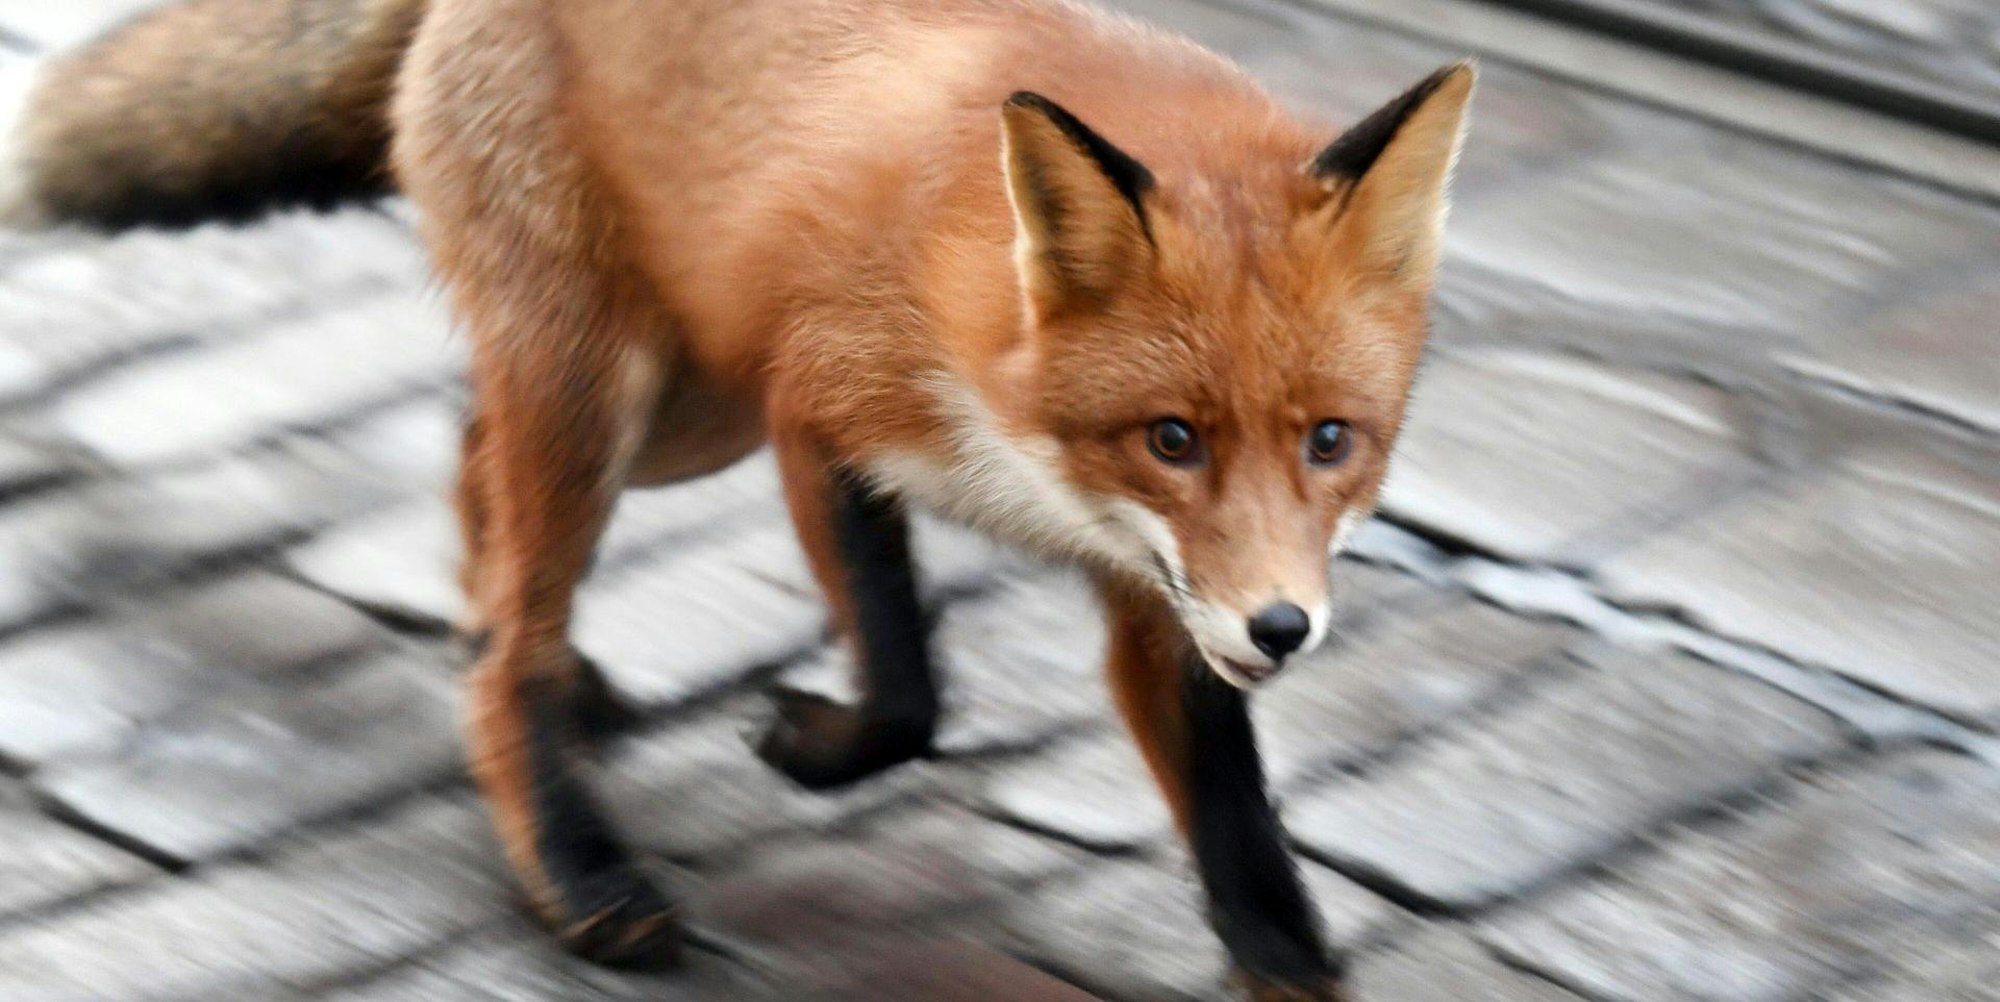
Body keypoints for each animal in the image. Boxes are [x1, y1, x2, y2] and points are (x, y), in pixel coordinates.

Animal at [4, 0, 1473, 996]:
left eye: (1331, 441)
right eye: (1172, 437)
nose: (1285, 630)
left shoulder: (1162, 588)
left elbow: (1232, 817)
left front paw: (1283, 958)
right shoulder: (819, 407)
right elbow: (907, 689)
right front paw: (810, 747)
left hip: (678, 408)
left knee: (470, 457)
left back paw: (535, 659)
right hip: (612, 391)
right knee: (504, 629)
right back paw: (577, 858)